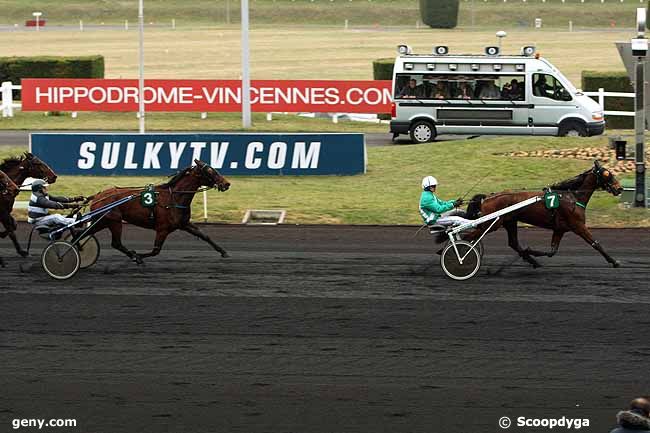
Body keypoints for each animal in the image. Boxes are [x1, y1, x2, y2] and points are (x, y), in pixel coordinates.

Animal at [85, 159, 229, 264]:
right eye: (210, 170)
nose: (227, 183)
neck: (174, 197)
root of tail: (97, 196)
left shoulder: (183, 223)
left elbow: (204, 235)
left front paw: (223, 252)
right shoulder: (162, 229)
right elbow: (156, 251)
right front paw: (137, 256)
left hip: (103, 221)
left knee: (85, 233)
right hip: (114, 221)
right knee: (116, 243)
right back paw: (133, 256)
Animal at [460, 161, 624, 266]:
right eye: (607, 174)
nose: (620, 188)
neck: (572, 197)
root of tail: (487, 197)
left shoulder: (559, 229)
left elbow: (552, 251)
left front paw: (530, 251)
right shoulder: (578, 225)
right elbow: (595, 243)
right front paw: (614, 261)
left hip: (509, 222)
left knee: (513, 242)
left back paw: (533, 261)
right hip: (492, 224)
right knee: (467, 237)